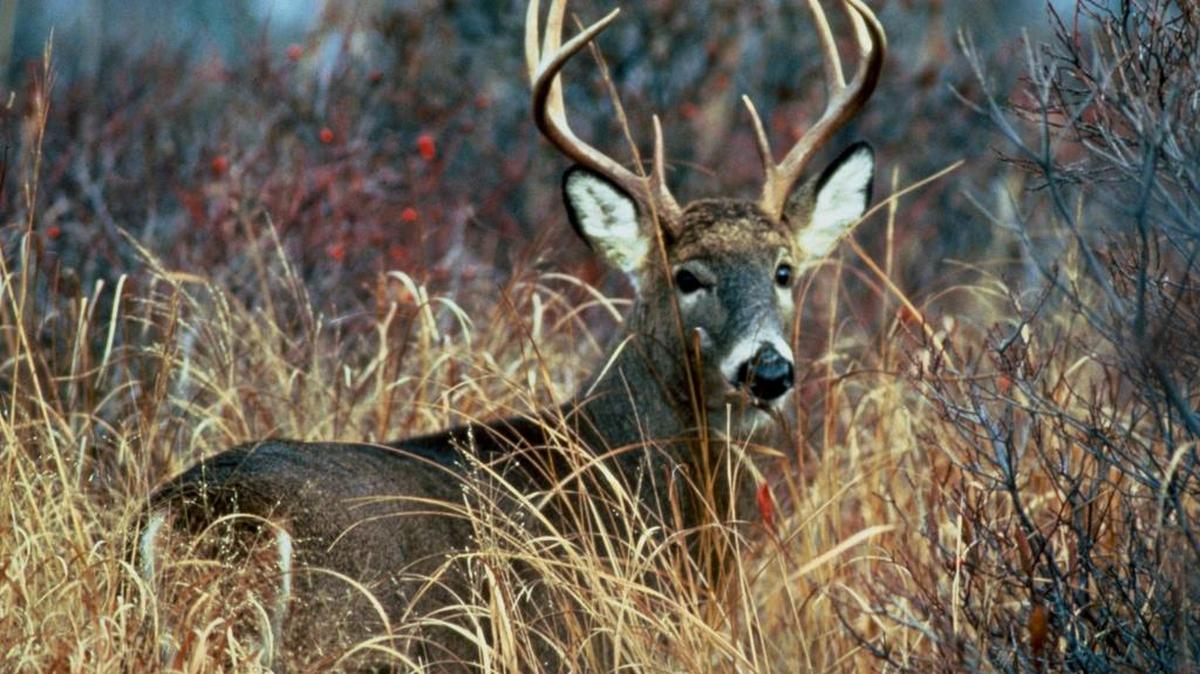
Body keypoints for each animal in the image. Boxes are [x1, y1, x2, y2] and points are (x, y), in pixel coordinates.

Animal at [138, 0, 885, 670]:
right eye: (686, 276)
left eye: (784, 270)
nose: (769, 371)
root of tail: (209, 516)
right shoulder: (590, 644)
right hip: (340, 640)